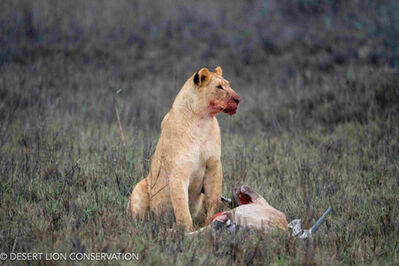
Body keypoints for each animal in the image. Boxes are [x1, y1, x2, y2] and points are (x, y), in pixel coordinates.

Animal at [130, 66, 241, 231]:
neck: (202, 120)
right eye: (219, 87)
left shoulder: (213, 166)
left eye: (228, 84)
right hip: (139, 188)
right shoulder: (179, 171)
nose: (238, 99)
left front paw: (210, 223)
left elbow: (213, 199)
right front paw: (186, 232)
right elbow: (182, 206)